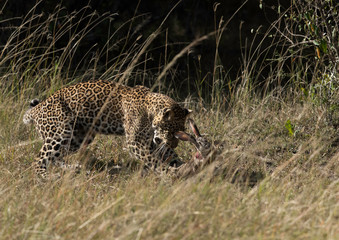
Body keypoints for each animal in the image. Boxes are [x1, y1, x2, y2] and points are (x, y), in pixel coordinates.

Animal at [23, 80, 191, 178]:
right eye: (172, 131)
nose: (174, 144)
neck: (150, 109)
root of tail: (37, 108)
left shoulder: (150, 140)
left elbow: (167, 153)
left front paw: (182, 165)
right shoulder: (136, 142)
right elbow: (153, 159)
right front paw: (168, 172)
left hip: (77, 138)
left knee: (56, 158)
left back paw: (73, 168)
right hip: (60, 133)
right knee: (38, 160)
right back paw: (46, 177)